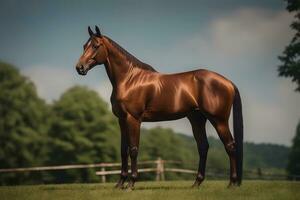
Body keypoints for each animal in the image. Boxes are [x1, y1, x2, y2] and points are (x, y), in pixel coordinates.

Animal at [75, 26, 244, 189]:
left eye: (96, 45)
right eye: (84, 46)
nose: (79, 67)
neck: (129, 80)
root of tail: (228, 82)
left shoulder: (133, 119)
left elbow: (133, 149)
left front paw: (131, 183)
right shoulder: (122, 120)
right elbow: (123, 150)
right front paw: (119, 184)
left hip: (219, 120)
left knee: (230, 146)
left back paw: (231, 183)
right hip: (197, 119)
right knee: (203, 147)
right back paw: (196, 183)